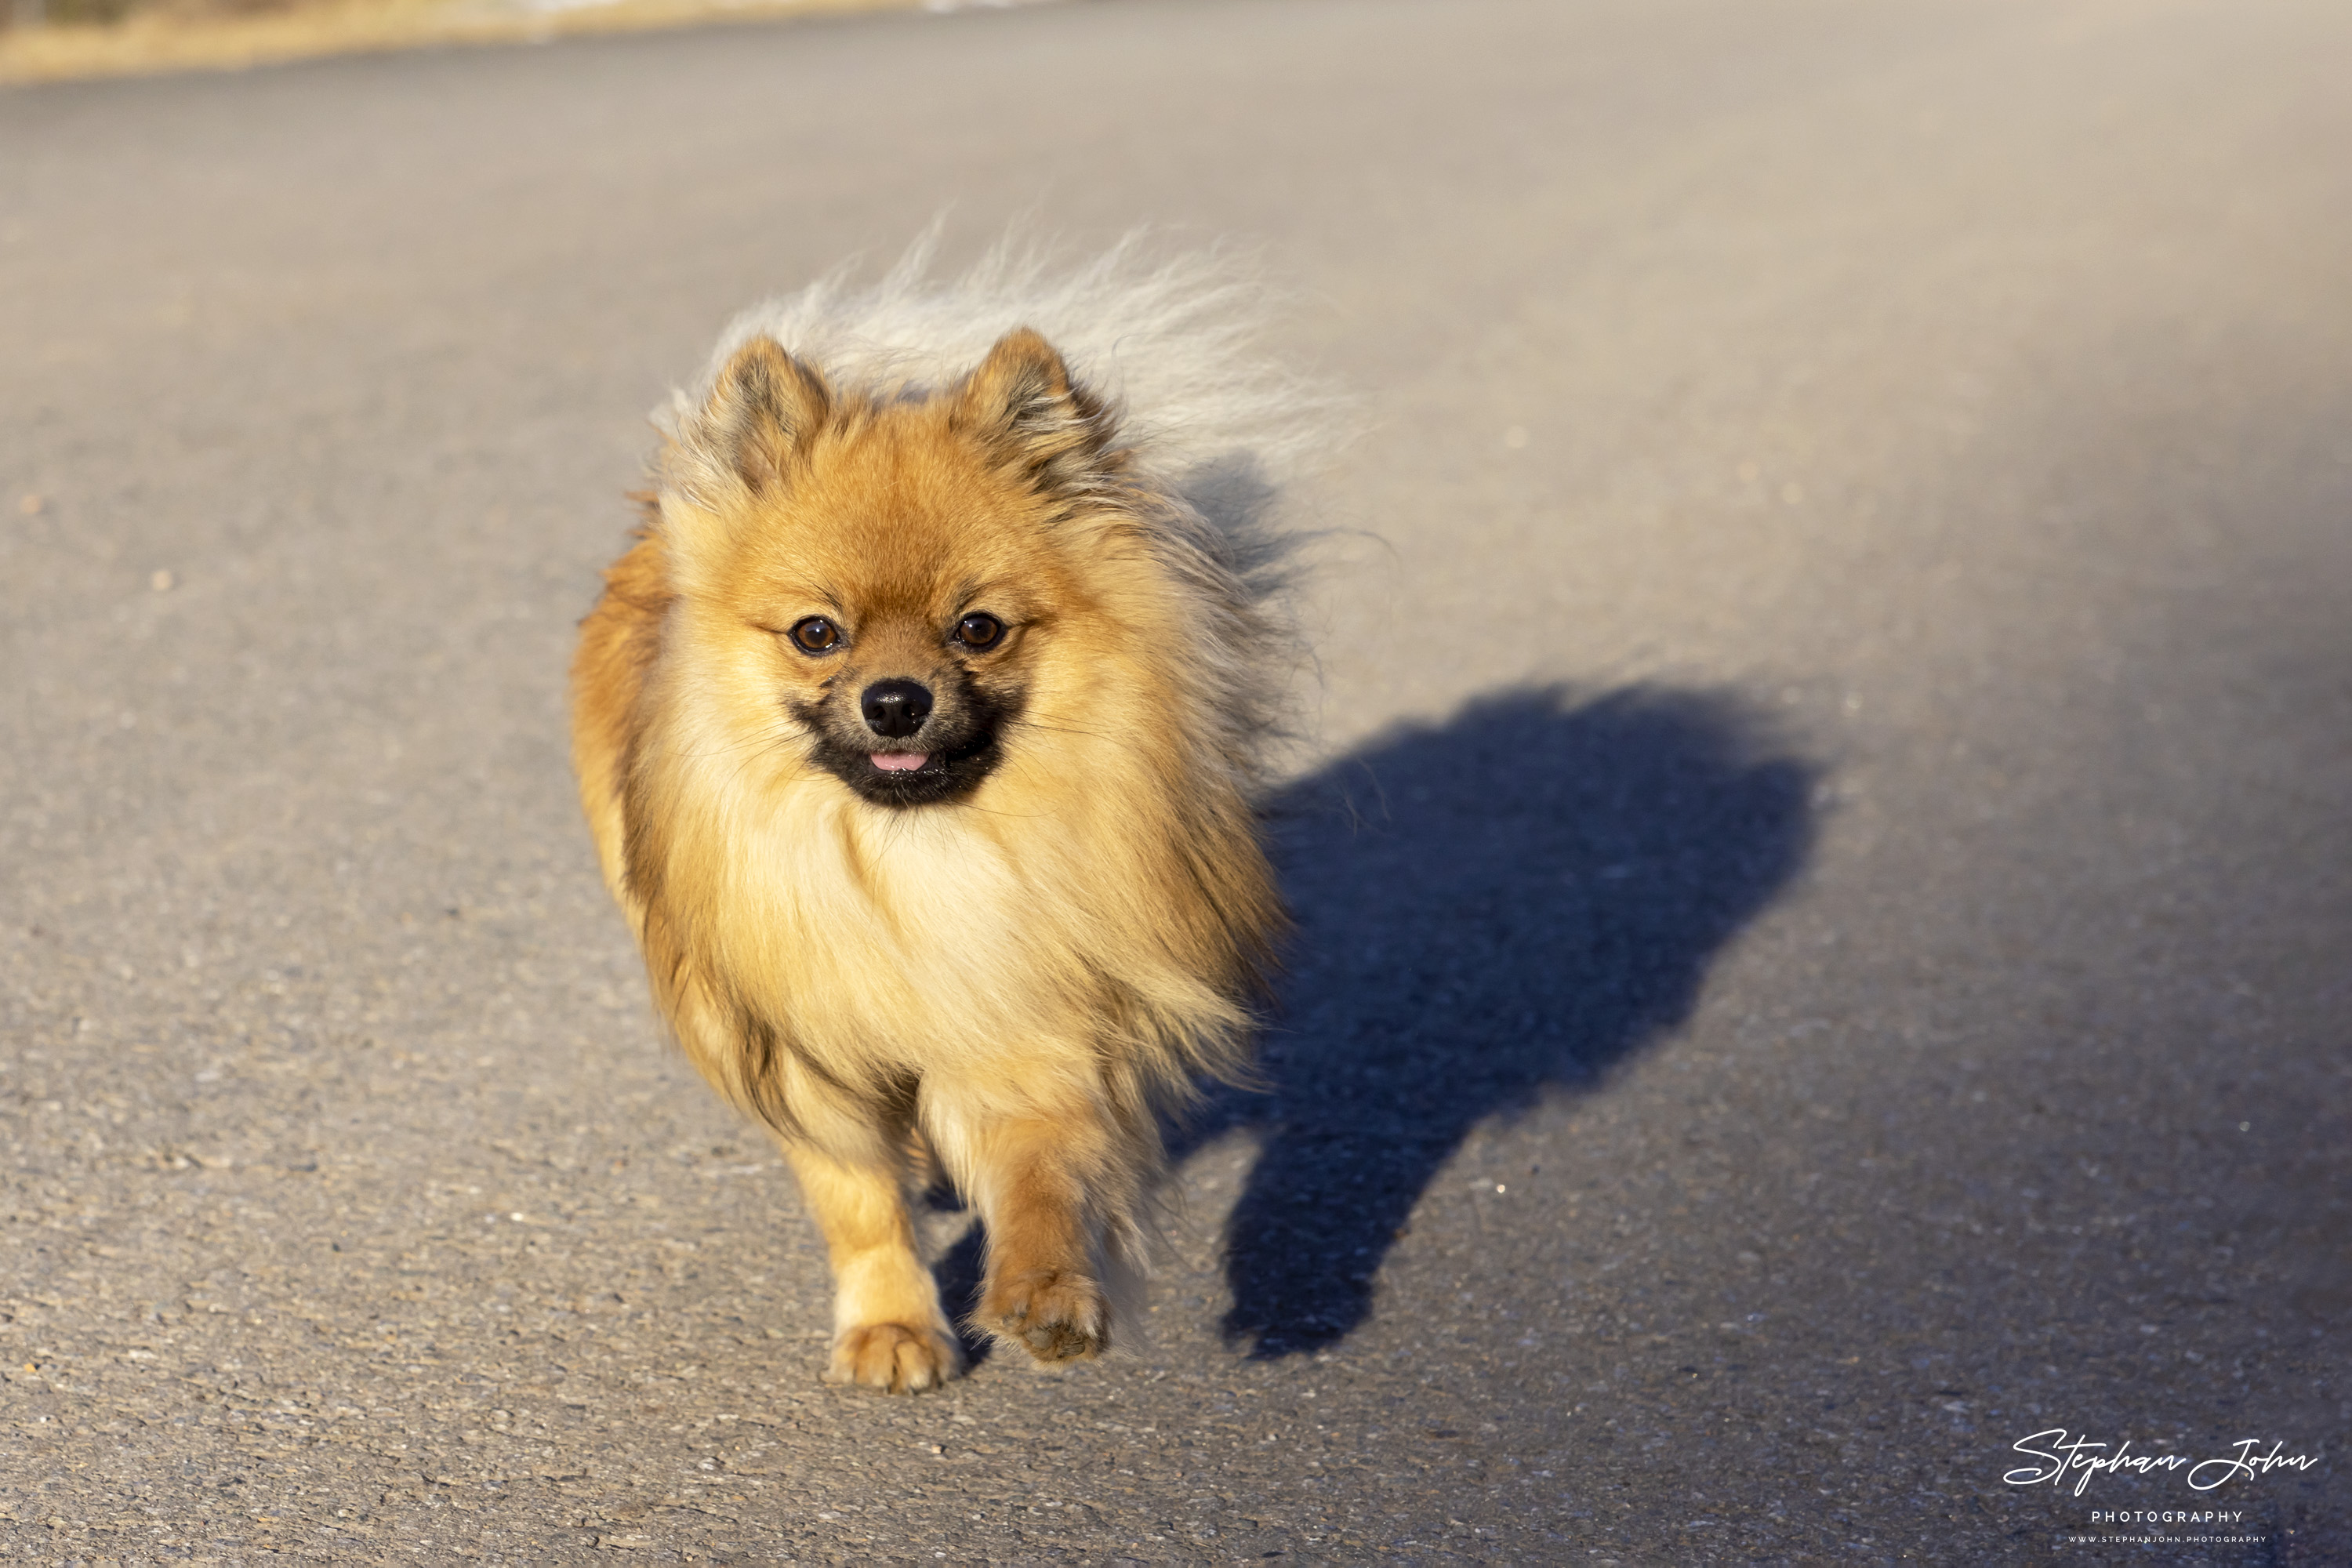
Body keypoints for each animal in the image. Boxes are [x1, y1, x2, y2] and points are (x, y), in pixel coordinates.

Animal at [572, 239, 1327, 1392]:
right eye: (817, 634)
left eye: (978, 628)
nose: (895, 700)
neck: (914, 859)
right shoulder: (807, 1045)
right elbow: (857, 1198)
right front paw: (890, 1325)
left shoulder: (1017, 1007)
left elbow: (1039, 1167)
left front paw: (1046, 1292)